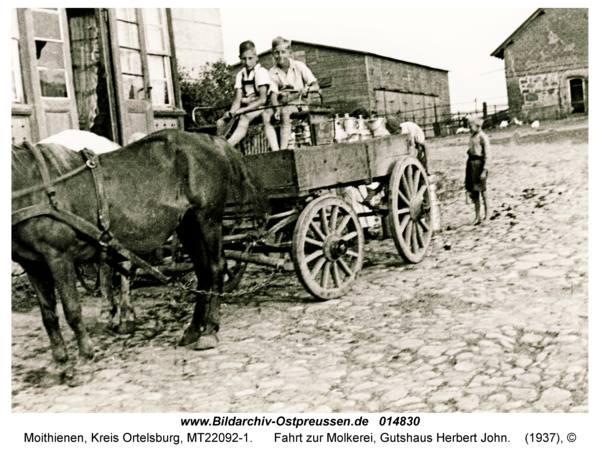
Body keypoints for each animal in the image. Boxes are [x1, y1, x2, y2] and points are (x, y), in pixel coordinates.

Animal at [11, 129, 270, 364]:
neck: (33, 187)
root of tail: (212, 140)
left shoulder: (58, 257)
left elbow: (71, 310)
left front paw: (85, 354)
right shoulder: (33, 264)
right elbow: (48, 314)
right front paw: (61, 360)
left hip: (208, 219)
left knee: (216, 268)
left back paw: (208, 331)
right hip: (188, 224)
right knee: (203, 272)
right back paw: (193, 329)